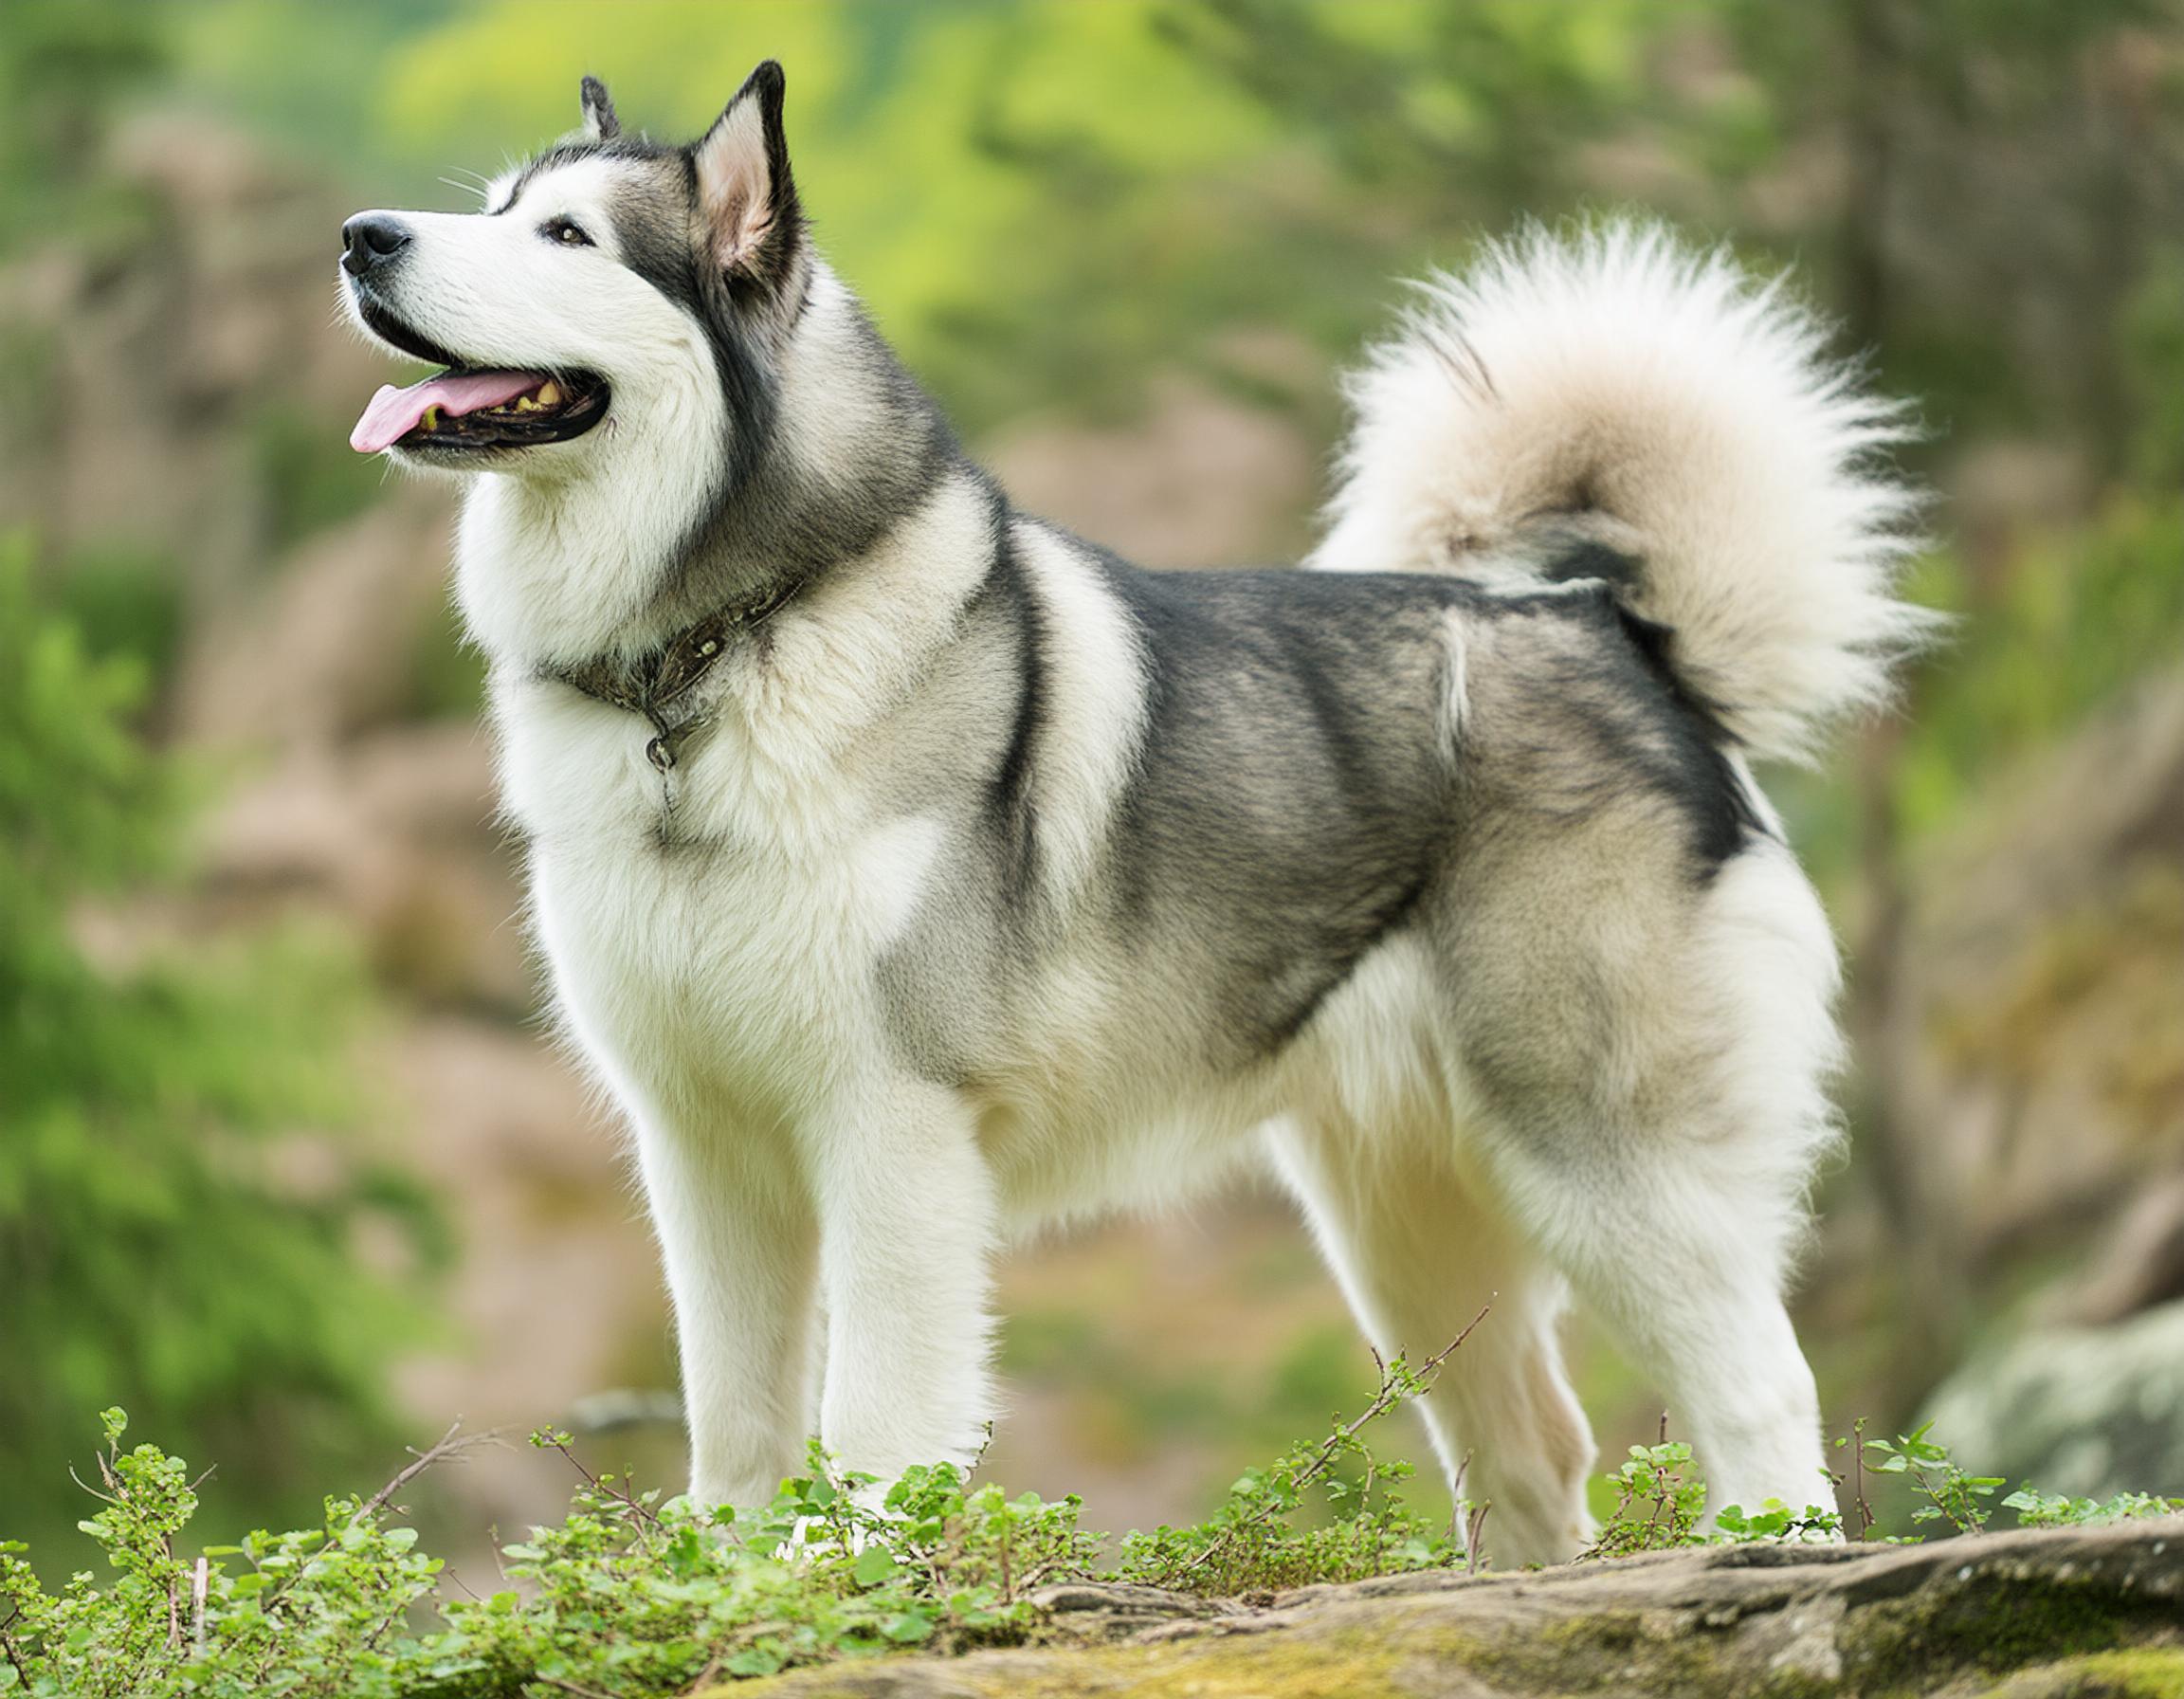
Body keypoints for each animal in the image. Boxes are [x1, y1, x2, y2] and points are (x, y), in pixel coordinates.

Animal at [340, 65, 1930, 1563]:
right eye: (494, 206)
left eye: (566, 237)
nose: (361, 236)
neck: (713, 658)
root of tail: (1620, 633)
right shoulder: (705, 1149)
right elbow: (736, 1430)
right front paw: (727, 1586)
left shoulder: (893, 1129)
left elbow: (872, 1427)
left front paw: (836, 1582)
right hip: (1403, 1226)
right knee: (1535, 1446)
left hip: (1607, 1159)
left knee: (1759, 1390)